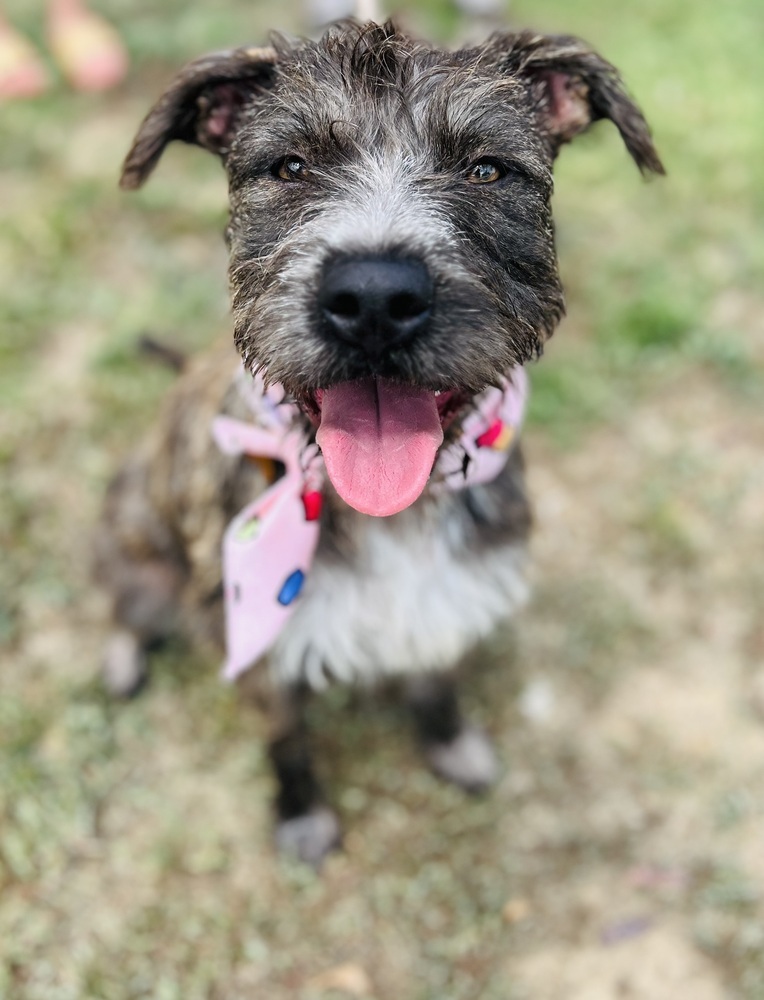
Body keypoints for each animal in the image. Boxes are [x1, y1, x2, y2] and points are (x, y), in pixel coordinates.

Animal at [97, 23, 664, 868]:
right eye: (290, 167)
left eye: (486, 169)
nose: (372, 298)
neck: (390, 511)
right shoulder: (255, 633)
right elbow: (286, 736)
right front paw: (301, 813)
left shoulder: (451, 594)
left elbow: (436, 680)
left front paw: (453, 742)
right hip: (137, 539)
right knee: (126, 605)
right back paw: (121, 656)